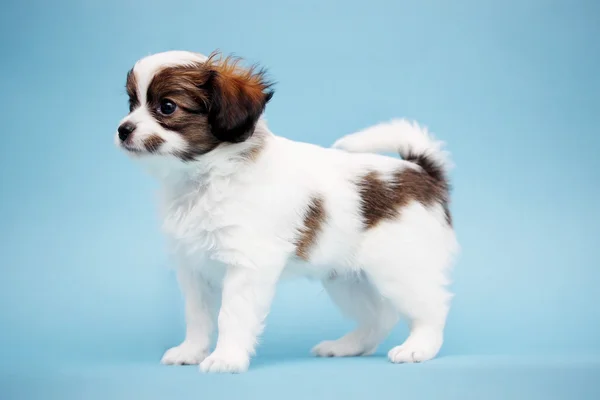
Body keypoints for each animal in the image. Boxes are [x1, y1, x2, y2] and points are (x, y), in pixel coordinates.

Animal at [116, 50, 460, 376]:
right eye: (132, 103)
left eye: (167, 107)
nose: (123, 129)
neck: (206, 177)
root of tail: (420, 171)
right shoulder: (194, 268)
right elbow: (197, 316)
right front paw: (191, 351)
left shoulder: (246, 266)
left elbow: (231, 315)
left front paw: (226, 359)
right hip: (347, 278)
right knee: (380, 318)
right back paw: (346, 346)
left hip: (400, 269)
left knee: (431, 308)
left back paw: (418, 347)